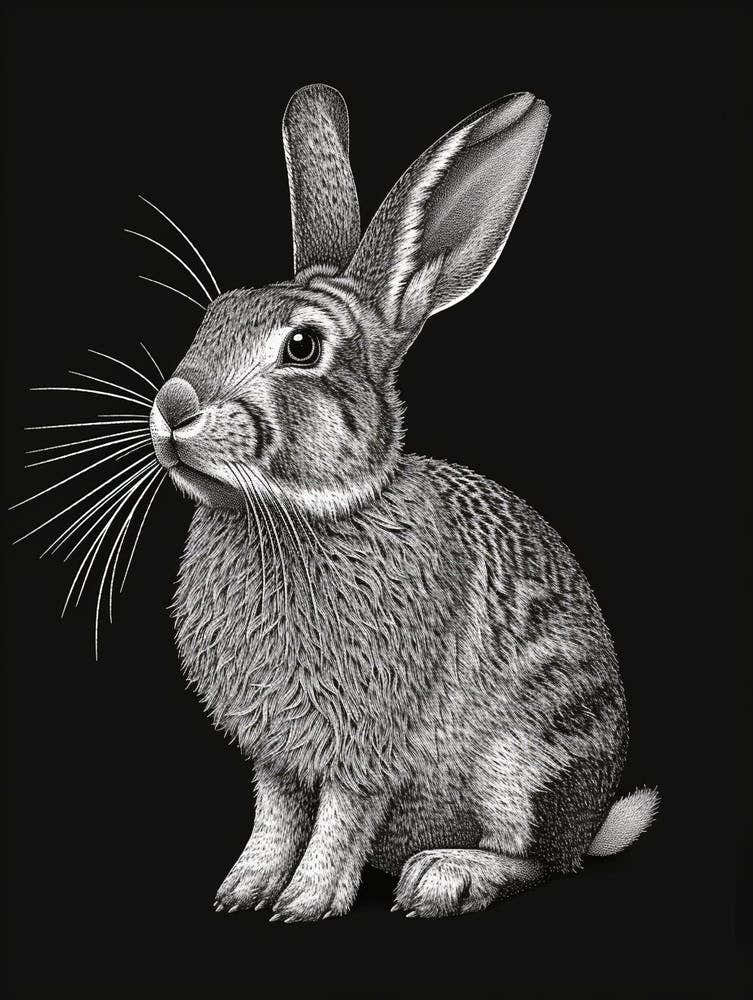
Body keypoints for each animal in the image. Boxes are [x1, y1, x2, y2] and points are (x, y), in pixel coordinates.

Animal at [148, 83, 658, 921]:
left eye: (302, 347)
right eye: (214, 316)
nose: (172, 406)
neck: (296, 512)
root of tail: (590, 825)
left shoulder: (367, 744)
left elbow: (340, 817)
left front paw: (307, 901)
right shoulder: (276, 756)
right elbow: (276, 815)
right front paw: (244, 889)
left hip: (525, 757)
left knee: (535, 860)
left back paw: (445, 877)